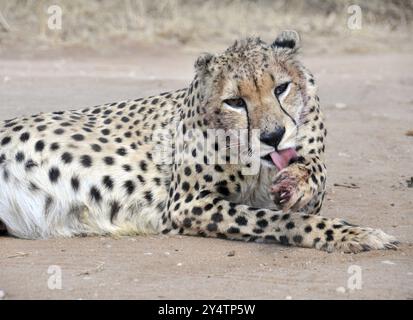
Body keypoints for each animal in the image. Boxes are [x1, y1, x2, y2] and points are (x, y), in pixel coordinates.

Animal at [0, 31, 400, 252]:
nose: (272, 137)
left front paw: (296, 181)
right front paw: (353, 234)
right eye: (235, 101)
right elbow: (278, 220)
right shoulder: (187, 204)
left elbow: (313, 174)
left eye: (282, 88)